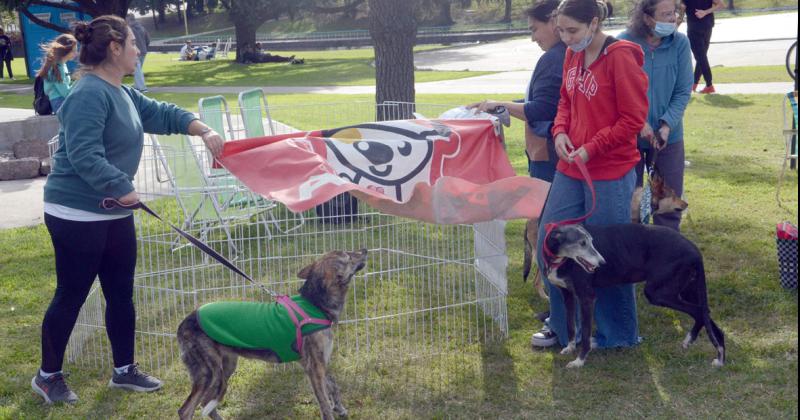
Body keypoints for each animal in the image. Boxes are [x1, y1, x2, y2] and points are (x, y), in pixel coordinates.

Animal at [177, 249, 368, 420]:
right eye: (347, 255)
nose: (365, 250)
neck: (315, 303)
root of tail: (183, 324)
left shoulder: (318, 364)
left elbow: (333, 385)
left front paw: (340, 408)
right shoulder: (314, 368)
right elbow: (324, 403)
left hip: (226, 367)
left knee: (206, 403)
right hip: (209, 373)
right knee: (186, 410)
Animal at [544, 223, 724, 368]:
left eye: (591, 242)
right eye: (582, 243)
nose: (602, 263)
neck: (560, 259)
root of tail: (695, 250)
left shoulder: (587, 297)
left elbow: (586, 335)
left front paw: (579, 361)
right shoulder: (567, 295)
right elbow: (570, 325)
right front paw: (569, 347)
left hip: (658, 293)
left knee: (699, 311)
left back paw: (700, 345)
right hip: (688, 289)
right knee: (704, 313)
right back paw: (717, 354)